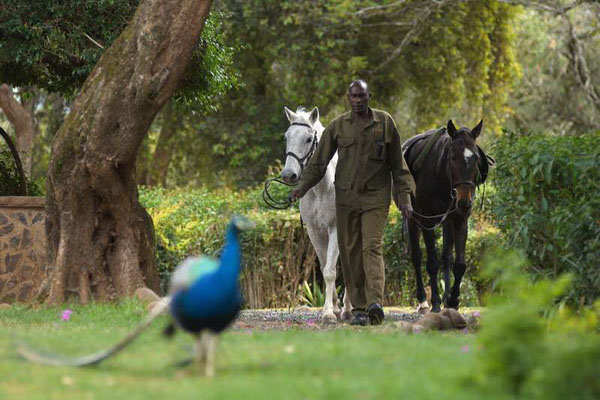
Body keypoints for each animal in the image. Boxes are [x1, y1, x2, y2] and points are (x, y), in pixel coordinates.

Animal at [280, 105, 352, 322]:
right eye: (286, 137)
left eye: (308, 139)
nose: (288, 175)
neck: (322, 188)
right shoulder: (315, 231)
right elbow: (324, 266)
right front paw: (333, 308)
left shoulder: (335, 229)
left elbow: (329, 272)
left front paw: (328, 313)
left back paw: (348, 309)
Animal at [404, 119, 488, 312]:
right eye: (452, 158)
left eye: (476, 158)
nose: (464, 202)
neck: (441, 176)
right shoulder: (427, 220)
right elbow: (432, 264)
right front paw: (435, 302)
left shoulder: (459, 220)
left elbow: (459, 265)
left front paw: (453, 300)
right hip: (413, 218)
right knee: (417, 257)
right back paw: (423, 300)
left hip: (447, 221)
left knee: (446, 258)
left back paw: (446, 296)